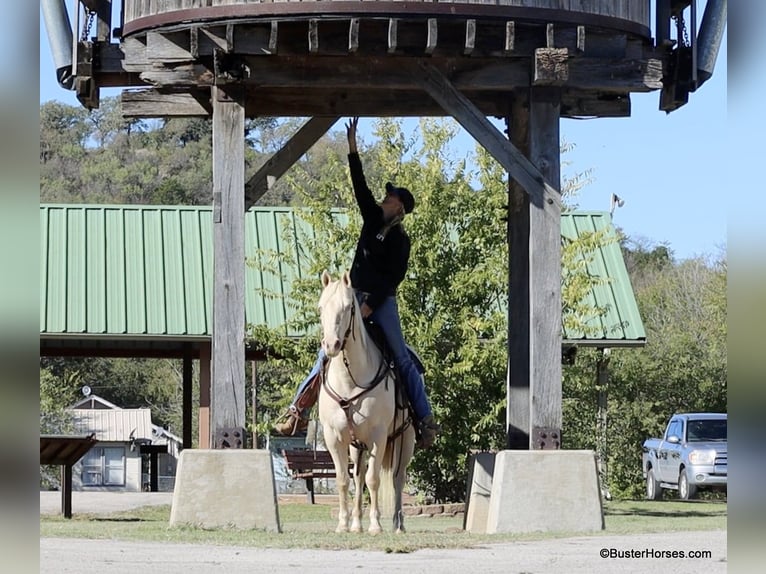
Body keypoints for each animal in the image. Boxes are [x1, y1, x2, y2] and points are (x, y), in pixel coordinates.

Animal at [316, 270, 416, 534]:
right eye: (321, 308)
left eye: (348, 307)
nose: (331, 345)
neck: (350, 381)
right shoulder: (334, 437)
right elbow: (343, 480)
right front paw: (344, 524)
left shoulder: (378, 437)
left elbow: (374, 479)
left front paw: (375, 525)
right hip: (356, 445)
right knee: (358, 477)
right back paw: (356, 523)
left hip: (405, 440)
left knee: (397, 478)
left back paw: (398, 524)